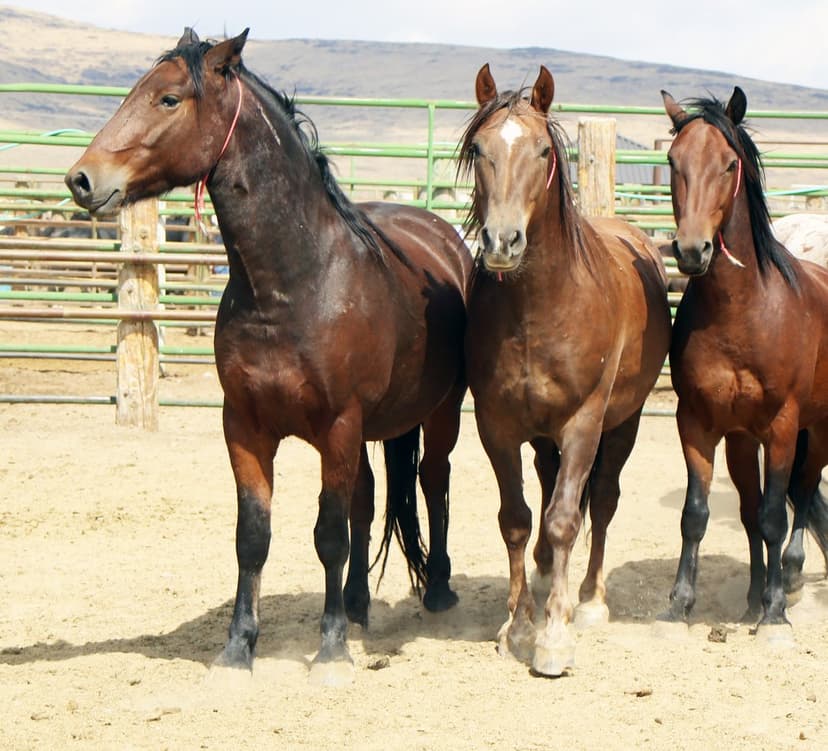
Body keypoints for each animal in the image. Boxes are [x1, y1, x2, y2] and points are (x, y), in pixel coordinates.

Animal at [65, 28, 471, 685]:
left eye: (169, 99)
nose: (81, 179)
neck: (293, 283)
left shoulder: (338, 426)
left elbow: (329, 535)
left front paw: (329, 652)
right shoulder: (246, 426)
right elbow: (253, 537)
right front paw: (238, 649)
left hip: (440, 413)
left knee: (433, 483)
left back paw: (435, 591)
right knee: (366, 500)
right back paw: (357, 606)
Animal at [459, 64, 671, 676]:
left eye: (541, 151)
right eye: (479, 148)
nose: (503, 241)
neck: (539, 306)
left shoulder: (583, 423)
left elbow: (564, 519)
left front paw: (554, 636)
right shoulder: (497, 426)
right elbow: (517, 518)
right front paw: (519, 625)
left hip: (622, 423)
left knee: (598, 501)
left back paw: (590, 600)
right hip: (542, 436)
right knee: (551, 489)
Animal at [660, 87, 828, 639]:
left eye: (730, 162)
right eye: (673, 161)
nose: (691, 250)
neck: (742, 312)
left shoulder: (782, 426)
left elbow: (777, 514)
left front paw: (774, 614)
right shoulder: (698, 422)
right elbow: (697, 513)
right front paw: (679, 604)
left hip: (816, 431)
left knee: (801, 494)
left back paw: (788, 578)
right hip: (740, 440)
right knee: (753, 509)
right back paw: (754, 595)